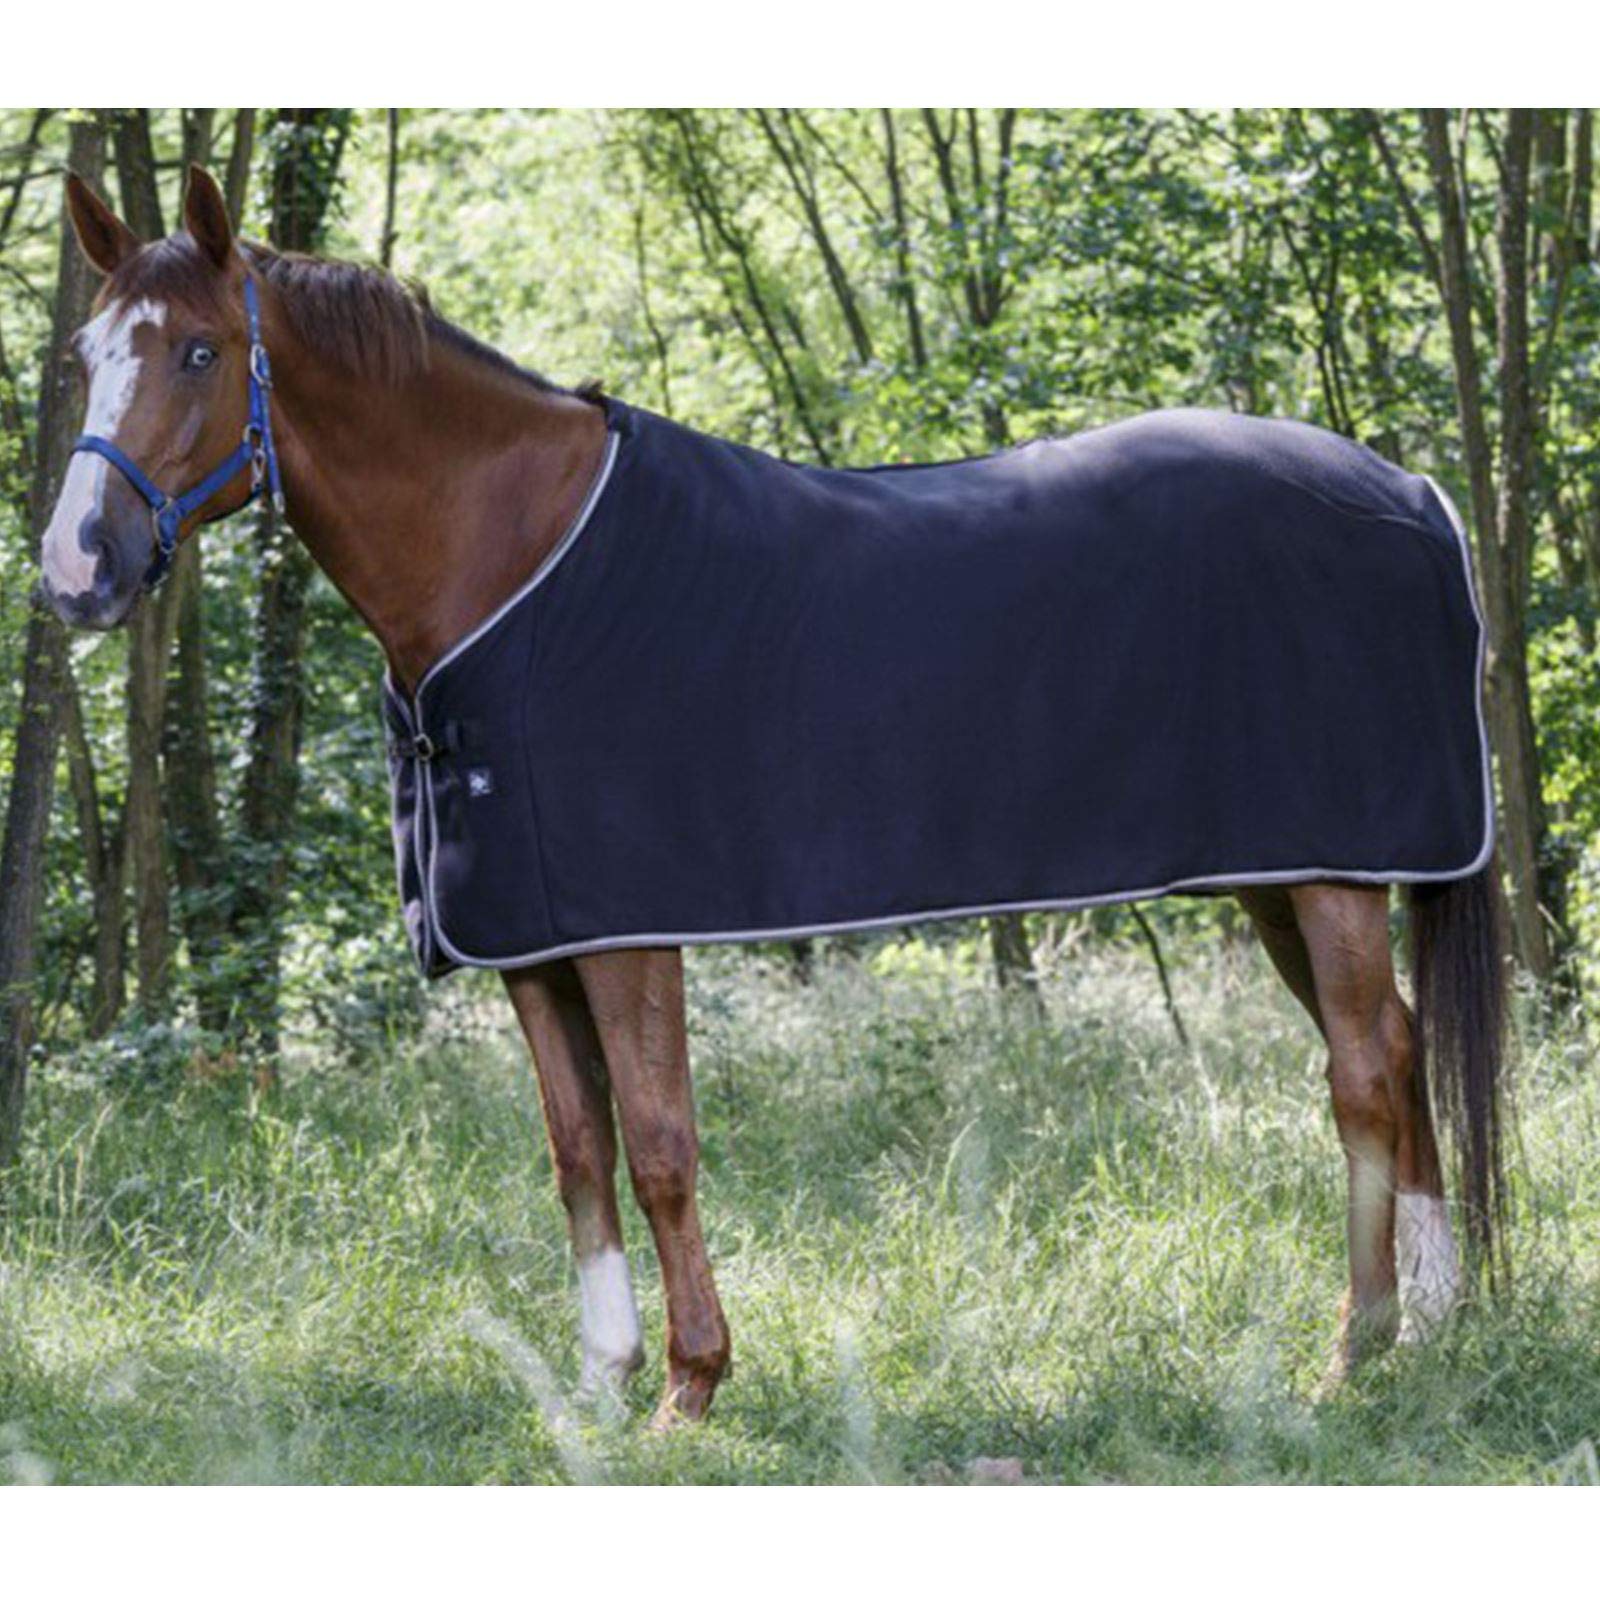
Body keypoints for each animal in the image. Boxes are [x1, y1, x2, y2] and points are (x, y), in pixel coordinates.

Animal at [40, 166, 1505, 1426]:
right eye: (85, 357)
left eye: (198, 352)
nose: (73, 570)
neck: (507, 556)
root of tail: (1414, 492)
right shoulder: (531, 939)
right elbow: (577, 1152)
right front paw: (600, 1382)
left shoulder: (626, 936)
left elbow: (658, 1144)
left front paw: (691, 1386)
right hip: (1280, 872)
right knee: (1398, 1047)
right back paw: (1437, 1326)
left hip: (1328, 871)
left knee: (1362, 1071)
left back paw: (1353, 1348)